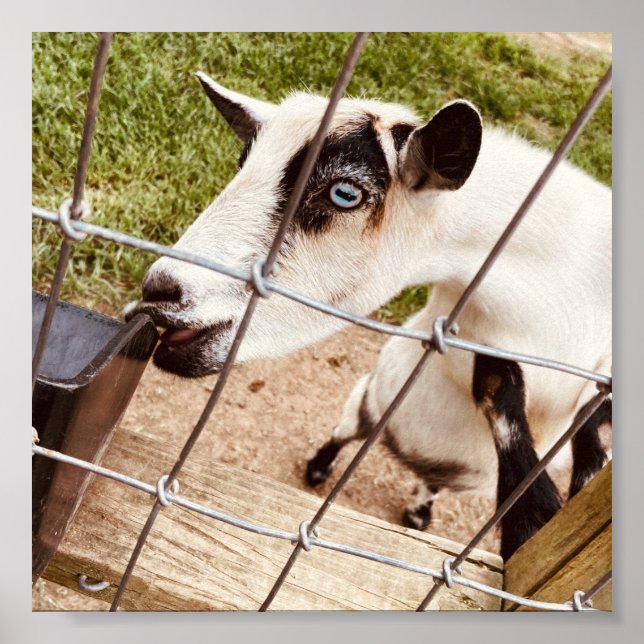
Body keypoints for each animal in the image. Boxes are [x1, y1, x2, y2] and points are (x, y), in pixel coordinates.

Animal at [126, 73, 612, 560]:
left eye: (345, 193)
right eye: (243, 163)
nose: (159, 290)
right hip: (368, 396)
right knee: (348, 432)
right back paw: (321, 469)